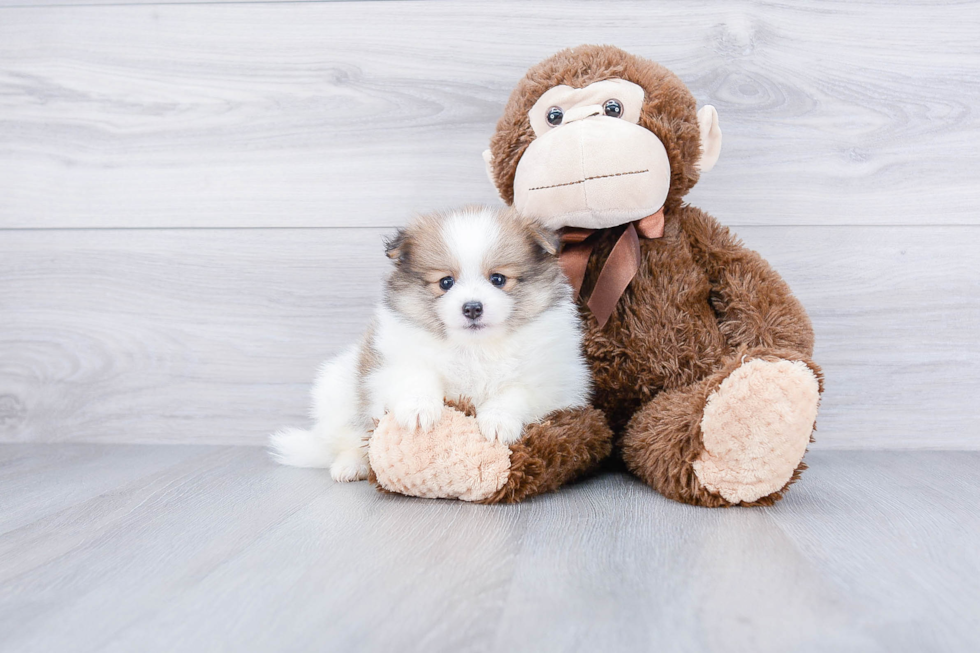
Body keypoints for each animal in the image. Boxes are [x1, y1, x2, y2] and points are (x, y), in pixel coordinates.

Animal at [268, 206, 588, 482]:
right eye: (446, 282)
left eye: (498, 279)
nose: (472, 307)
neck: (474, 348)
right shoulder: (393, 360)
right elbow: (417, 377)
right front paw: (419, 411)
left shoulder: (551, 380)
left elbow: (513, 393)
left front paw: (497, 422)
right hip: (338, 392)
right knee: (351, 439)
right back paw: (350, 466)